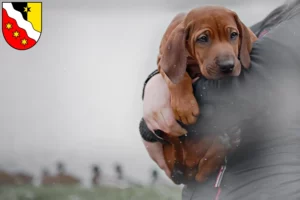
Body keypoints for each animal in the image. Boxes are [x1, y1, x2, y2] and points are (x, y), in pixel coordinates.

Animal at [156, 5, 256, 184]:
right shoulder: (162, 60)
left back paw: (226, 142)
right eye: (203, 39)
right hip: (170, 146)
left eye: (233, 35)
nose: (227, 66)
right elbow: (178, 77)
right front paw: (185, 107)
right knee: (185, 160)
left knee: (201, 171)